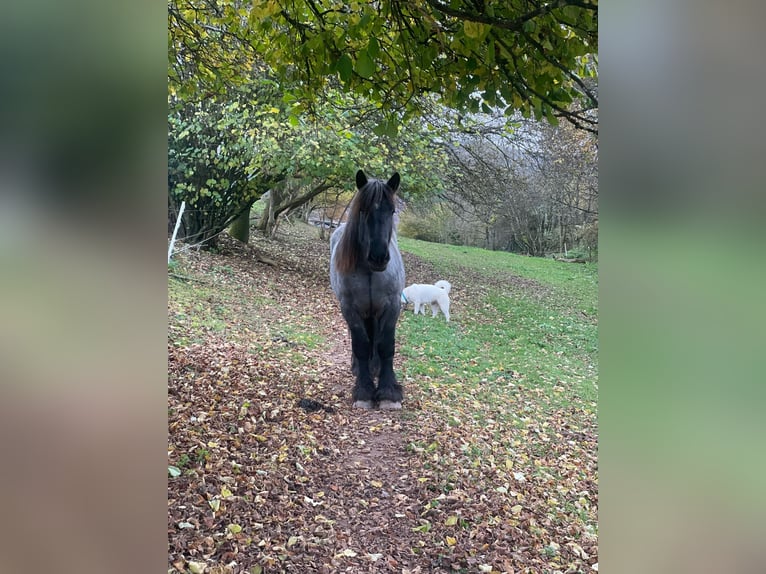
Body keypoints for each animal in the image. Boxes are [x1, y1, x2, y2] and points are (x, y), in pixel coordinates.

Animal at [330, 170, 408, 410]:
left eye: (391, 210)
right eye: (363, 210)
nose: (378, 256)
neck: (369, 271)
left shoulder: (392, 307)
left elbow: (385, 345)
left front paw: (388, 392)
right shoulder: (350, 309)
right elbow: (361, 344)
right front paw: (364, 390)